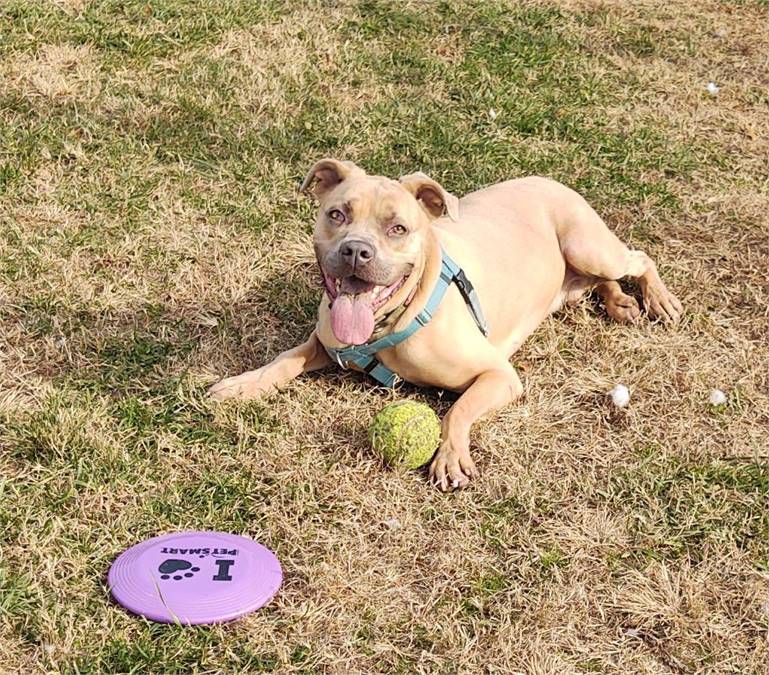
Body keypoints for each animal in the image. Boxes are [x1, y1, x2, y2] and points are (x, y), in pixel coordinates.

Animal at [207, 159, 680, 492]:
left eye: (398, 228)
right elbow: (285, 359)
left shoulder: (499, 376)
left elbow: (458, 409)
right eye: (337, 214)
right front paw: (242, 385)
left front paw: (450, 456)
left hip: (588, 245)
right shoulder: (326, 343)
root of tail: (550, 179)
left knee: (638, 257)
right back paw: (619, 301)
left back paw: (658, 299)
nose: (356, 251)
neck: (386, 327)